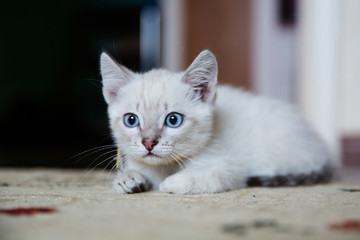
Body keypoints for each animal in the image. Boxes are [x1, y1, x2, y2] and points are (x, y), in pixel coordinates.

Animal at [99, 49, 338, 194]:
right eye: (131, 120)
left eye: (173, 120)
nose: (148, 143)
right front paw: (127, 179)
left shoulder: (232, 170)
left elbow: (210, 177)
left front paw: (173, 182)